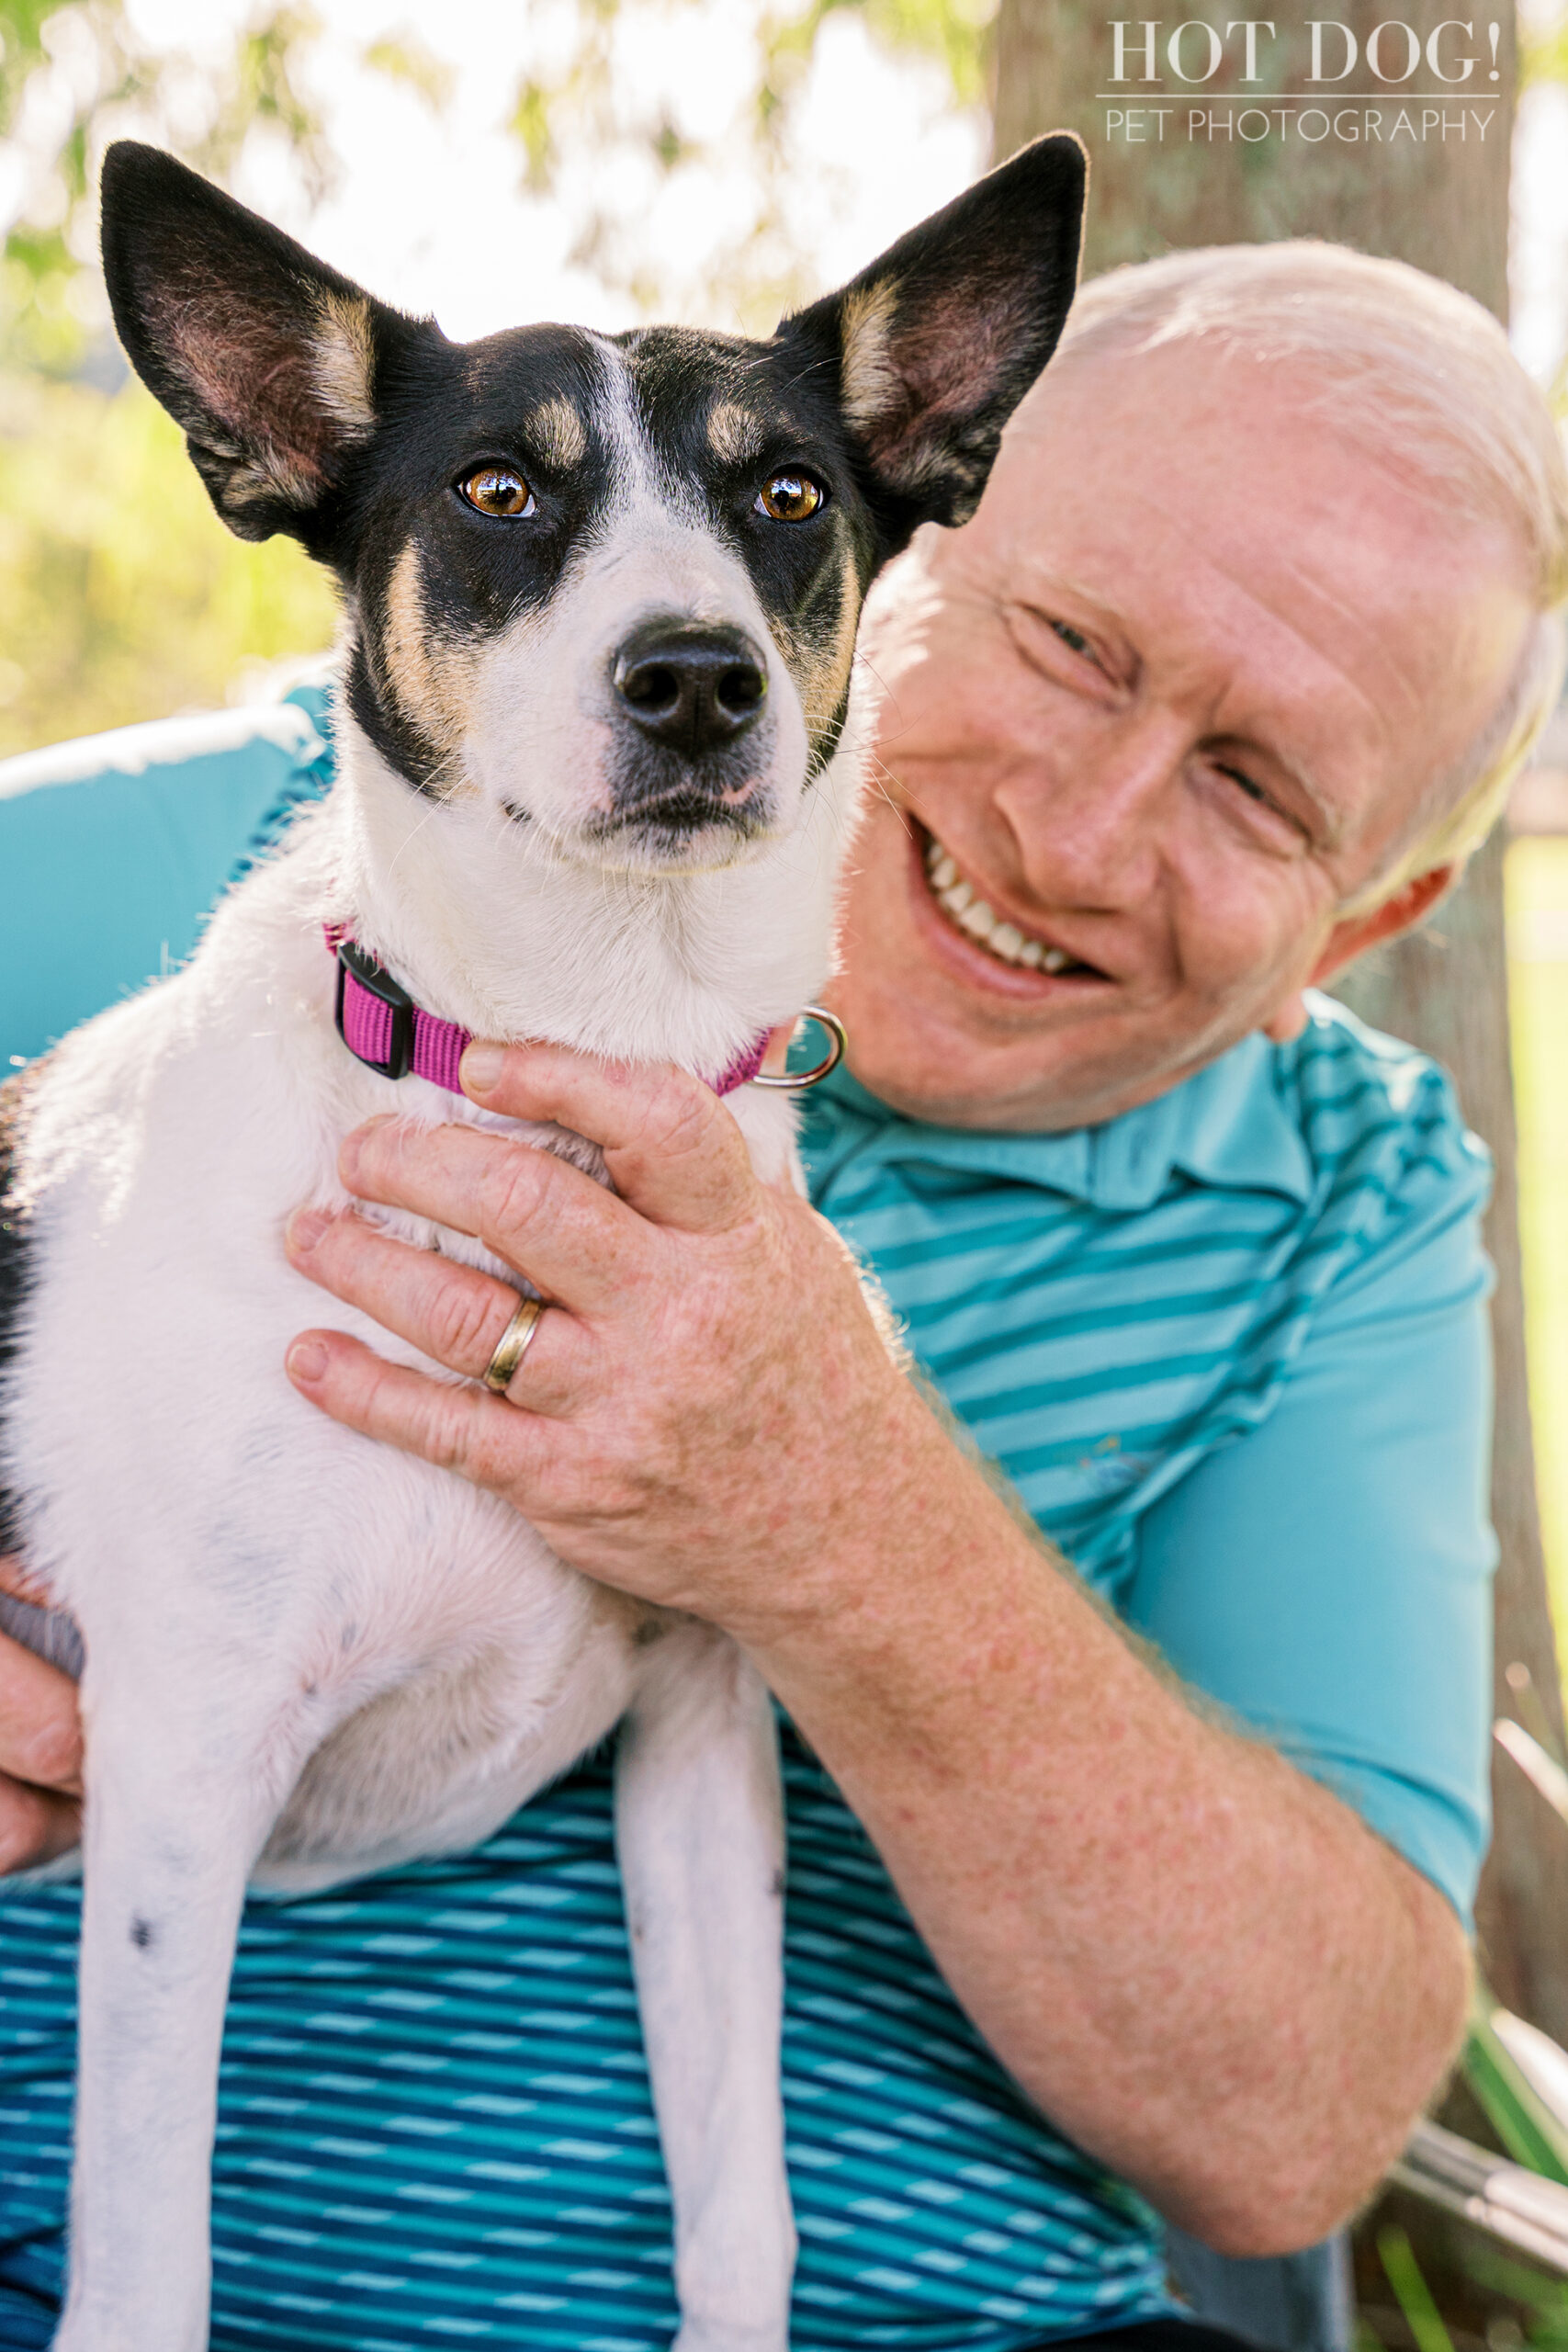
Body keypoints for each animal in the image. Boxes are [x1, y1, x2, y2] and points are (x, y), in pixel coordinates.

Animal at [0, 141, 1081, 2352]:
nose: (693, 677)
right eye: (498, 489)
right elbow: (148, 2254)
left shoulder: (699, 1751)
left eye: (788, 496)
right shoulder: (181, 1777)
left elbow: (741, 2204)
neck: (574, 1062)